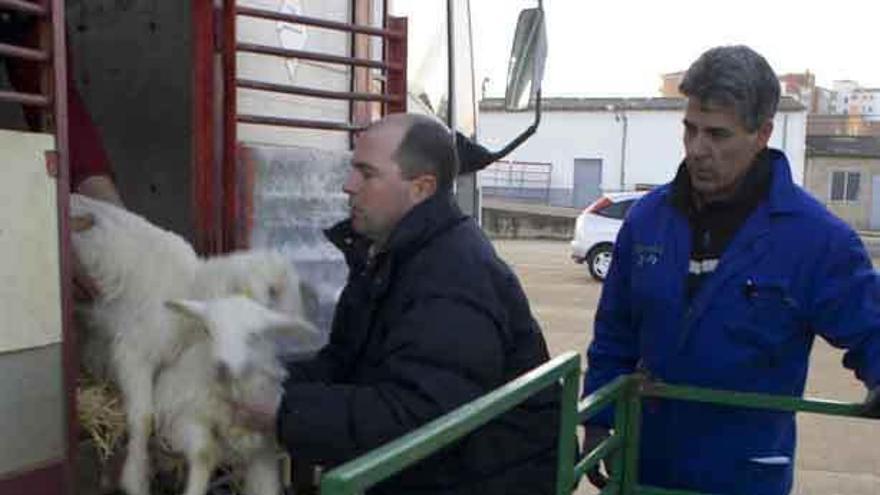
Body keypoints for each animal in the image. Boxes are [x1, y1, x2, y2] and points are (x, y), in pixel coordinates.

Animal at [71, 195, 312, 495]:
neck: (189, 288)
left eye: (275, 293)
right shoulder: (133, 352)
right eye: (263, 290)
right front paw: (135, 478)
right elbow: (144, 417)